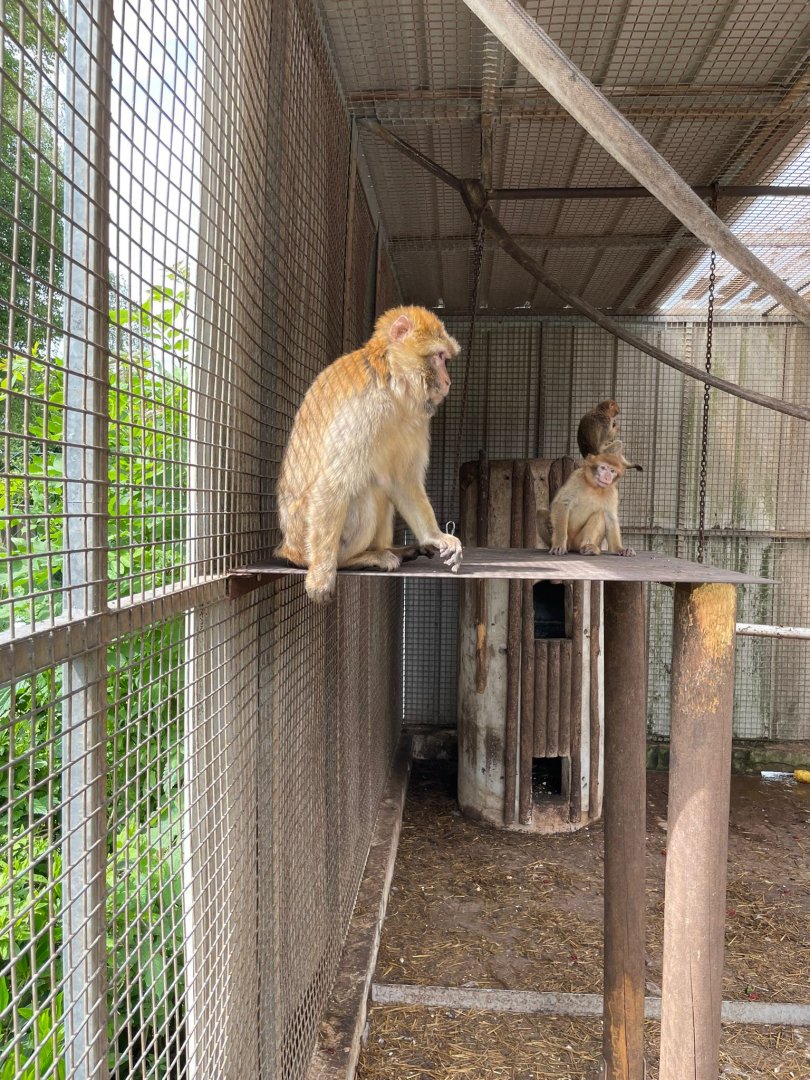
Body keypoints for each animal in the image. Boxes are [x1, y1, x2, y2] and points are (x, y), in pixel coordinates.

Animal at [275, 305, 463, 603]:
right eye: (439, 357)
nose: (448, 381)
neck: (392, 381)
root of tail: (289, 547)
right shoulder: (365, 407)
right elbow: (333, 483)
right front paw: (321, 576)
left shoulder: (416, 418)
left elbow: (403, 479)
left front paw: (435, 536)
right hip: (303, 534)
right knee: (361, 491)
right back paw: (352, 560)